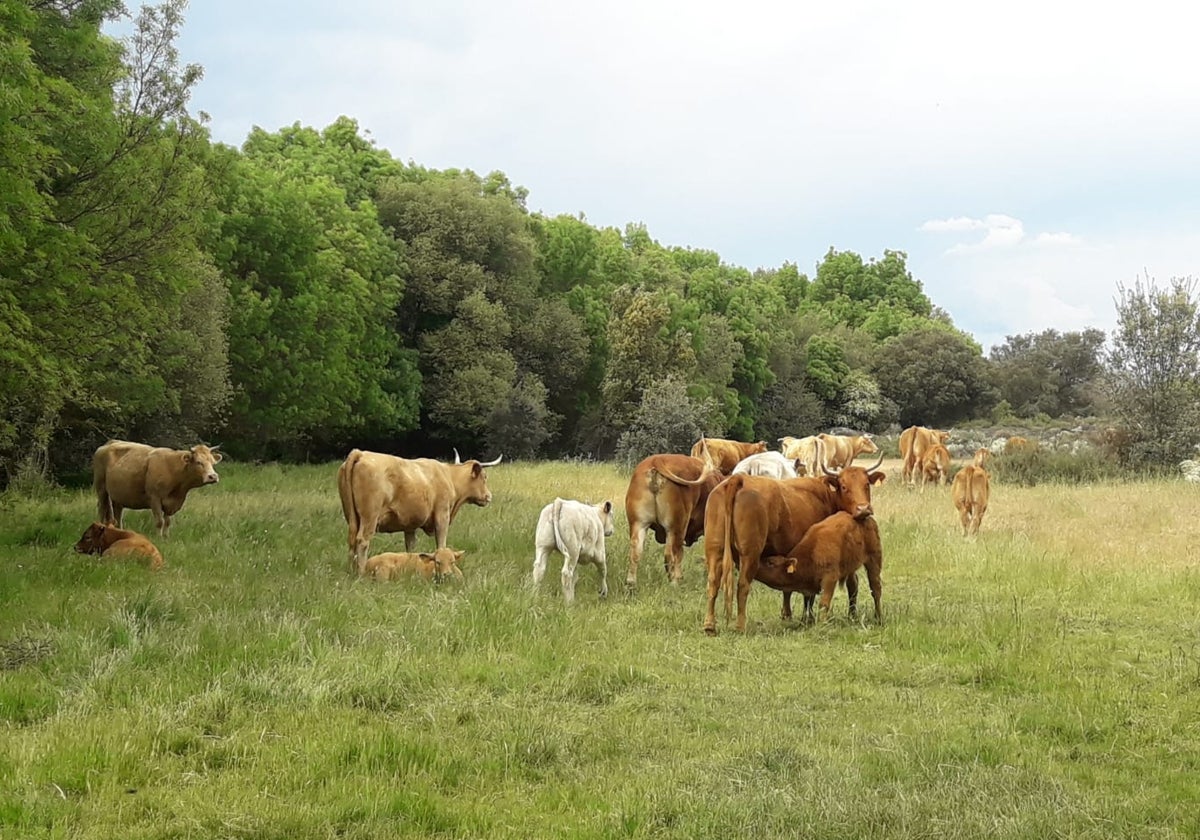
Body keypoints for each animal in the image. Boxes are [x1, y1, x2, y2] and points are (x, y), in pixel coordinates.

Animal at [91, 436, 223, 535]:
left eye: (212, 462)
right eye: (198, 462)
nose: (213, 476)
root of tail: (109, 443)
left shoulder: (171, 503)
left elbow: (167, 522)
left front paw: (165, 538)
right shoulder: (154, 498)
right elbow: (160, 522)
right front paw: (159, 538)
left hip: (118, 496)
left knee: (117, 515)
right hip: (101, 489)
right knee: (102, 509)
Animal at [338, 448, 501, 573]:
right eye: (484, 477)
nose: (489, 496)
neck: (448, 476)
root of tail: (361, 453)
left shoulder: (409, 525)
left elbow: (410, 547)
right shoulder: (442, 516)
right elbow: (441, 545)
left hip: (352, 518)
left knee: (351, 541)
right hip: (370, 517)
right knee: (362, 541)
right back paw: (361, 573)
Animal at [628, 456, 720, 588]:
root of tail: (657, 459)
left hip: (639, 524)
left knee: (635, 552)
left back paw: (631, 583)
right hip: (676, 528)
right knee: (672, 554)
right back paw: (675, 582)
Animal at [753, 511, 888, 624]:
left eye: (770, 562)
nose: (756, 566)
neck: (810, 554)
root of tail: (865, 518)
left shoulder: (830, 578)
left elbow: (823, 603)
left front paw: (821, 624)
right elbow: (808, 601)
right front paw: (807, 621)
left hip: (874, 559)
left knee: (875, 589)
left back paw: (878, 618)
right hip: (851, 566)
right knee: (853, 586)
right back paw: (852, 616)